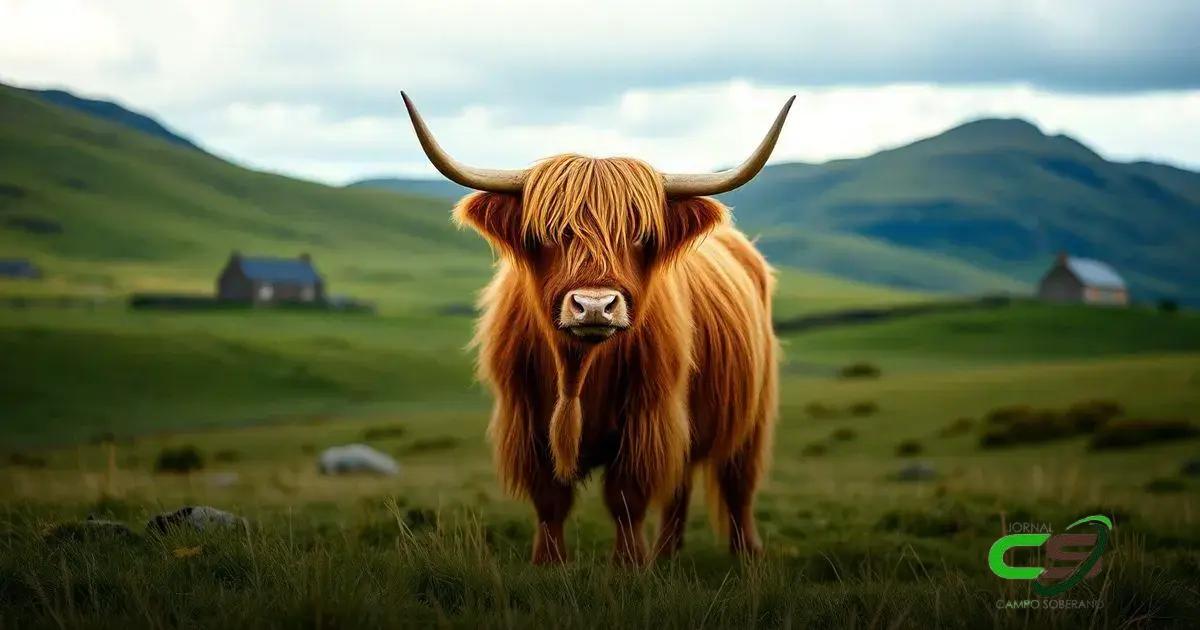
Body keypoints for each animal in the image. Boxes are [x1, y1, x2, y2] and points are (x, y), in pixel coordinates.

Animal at [403, 93, 791, 565]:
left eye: (641, 235)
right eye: (548, 233)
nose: (593, 306)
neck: (577, 371)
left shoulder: (647, 416)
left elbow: (626, 498)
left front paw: (628, 565)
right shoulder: (524, 416)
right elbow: (550, 499)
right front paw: (549, 563)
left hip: (752, 414)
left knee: (738, 487)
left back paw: (746, 556)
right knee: (679, 487)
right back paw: (666, 555)